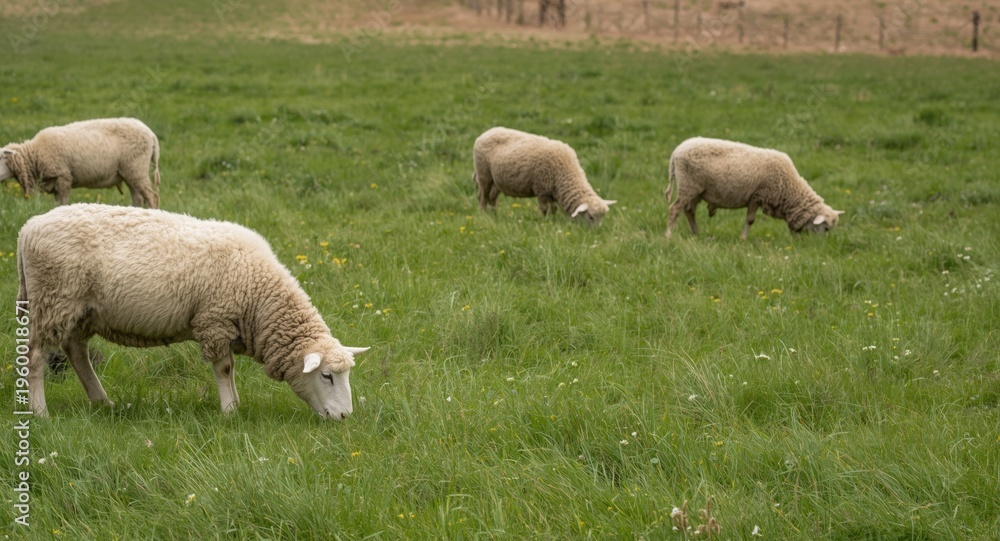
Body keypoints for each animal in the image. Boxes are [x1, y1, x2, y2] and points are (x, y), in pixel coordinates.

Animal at [0, 117, 160, 208]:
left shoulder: (63, 176)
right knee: (138, 198)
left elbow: (63, 203)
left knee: (152, 197)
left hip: (137, 168)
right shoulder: (55, 182)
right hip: (130, 173)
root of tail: (151, 134)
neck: (34, 155)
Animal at [17, 204, 369, 420]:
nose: (344, 416)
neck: (259, 295)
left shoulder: (223, 323)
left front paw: (234, 404)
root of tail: (28, 227)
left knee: (76, 352)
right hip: (53, 300)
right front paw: (230, 411)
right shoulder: (215, 319)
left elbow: (230, 369)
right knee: (35, 356)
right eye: (326, 375)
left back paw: (103, 401)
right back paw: (40, 412)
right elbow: (224, 368)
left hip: (80, 309)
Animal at [473, 127, 616, 225]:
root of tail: (486, 132)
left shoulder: (551, 191)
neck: (565, 173)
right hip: (483, 174)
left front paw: (553, 220)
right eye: (591, 217)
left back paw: (494, 216)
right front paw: (545, 222)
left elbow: (553, 209)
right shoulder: (541, 188)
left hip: (497, 180)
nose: (596, 232)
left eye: (602, 217)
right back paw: (483, 215)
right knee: (482, 197)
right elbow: (544, 208)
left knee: (492, 198)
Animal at [665, 137, 843, 240]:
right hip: (688, 186)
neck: (789, 190)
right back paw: (668, 235)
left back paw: (697, 233)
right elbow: (750, 220)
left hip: (695, 191)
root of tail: (676, 151)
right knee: (674, 209)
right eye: (826, 228)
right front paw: (743, 239)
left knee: (689, 211)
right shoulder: (757, 195)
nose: (819, 245)